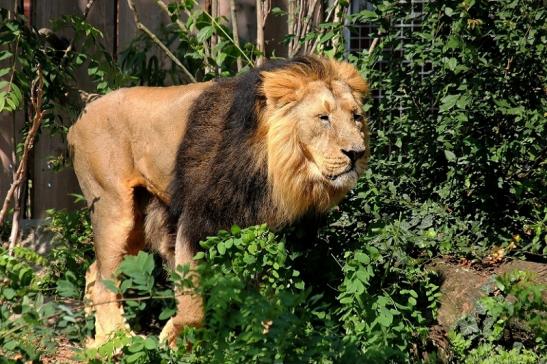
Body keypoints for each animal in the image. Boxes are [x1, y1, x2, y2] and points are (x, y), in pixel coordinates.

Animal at [67, 54, 368, 346]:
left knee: (94, 271)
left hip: (137, 224)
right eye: (323, 118)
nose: (357, 153)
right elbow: (192, 292)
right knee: (105, 280)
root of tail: (79, 119)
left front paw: (266, 337)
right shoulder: (197, 220)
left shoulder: (261, 229)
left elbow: (265, 288)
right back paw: (115, 341)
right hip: (113, 208)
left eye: (356, 117)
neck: (272, 165)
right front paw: (179, 338)